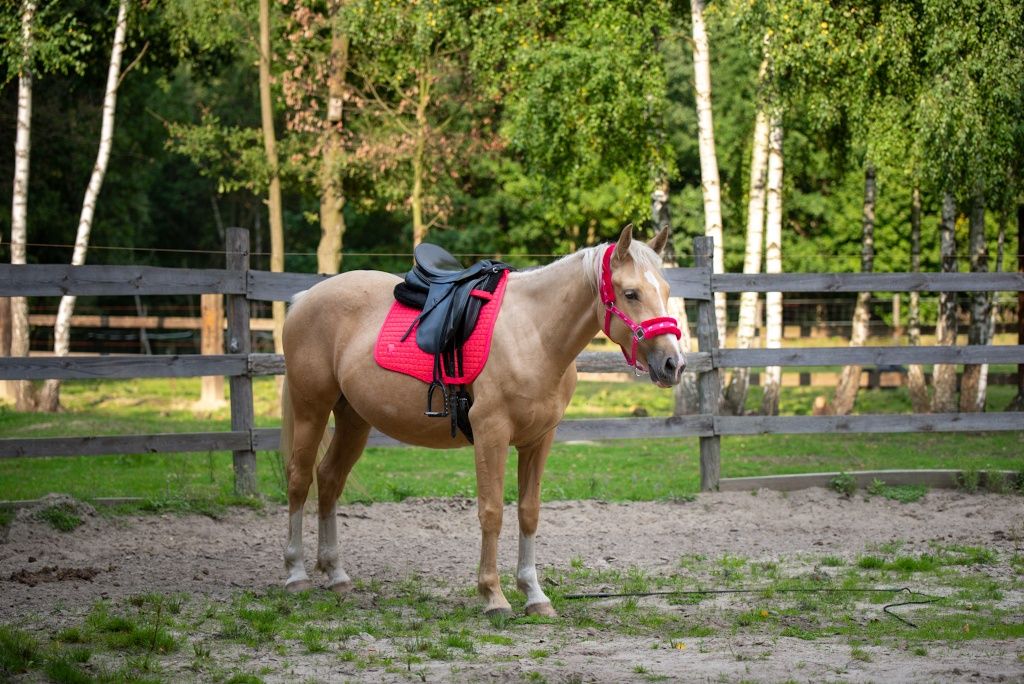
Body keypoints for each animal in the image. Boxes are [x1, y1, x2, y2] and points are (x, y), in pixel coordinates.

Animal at [278, 227, 688, 618]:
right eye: (631, 293)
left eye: (667, 290)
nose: (674, 364)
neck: (533, 334)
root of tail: (305, 298)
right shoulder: (492, 434)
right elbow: (492, 512)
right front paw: (494, 596)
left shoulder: (539, 440)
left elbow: (529, 512)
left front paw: (534, 595)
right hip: (311, 408)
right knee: (299, 479)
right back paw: (296, 573)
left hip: (354, 419)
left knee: (329, 479)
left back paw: (336, 575)